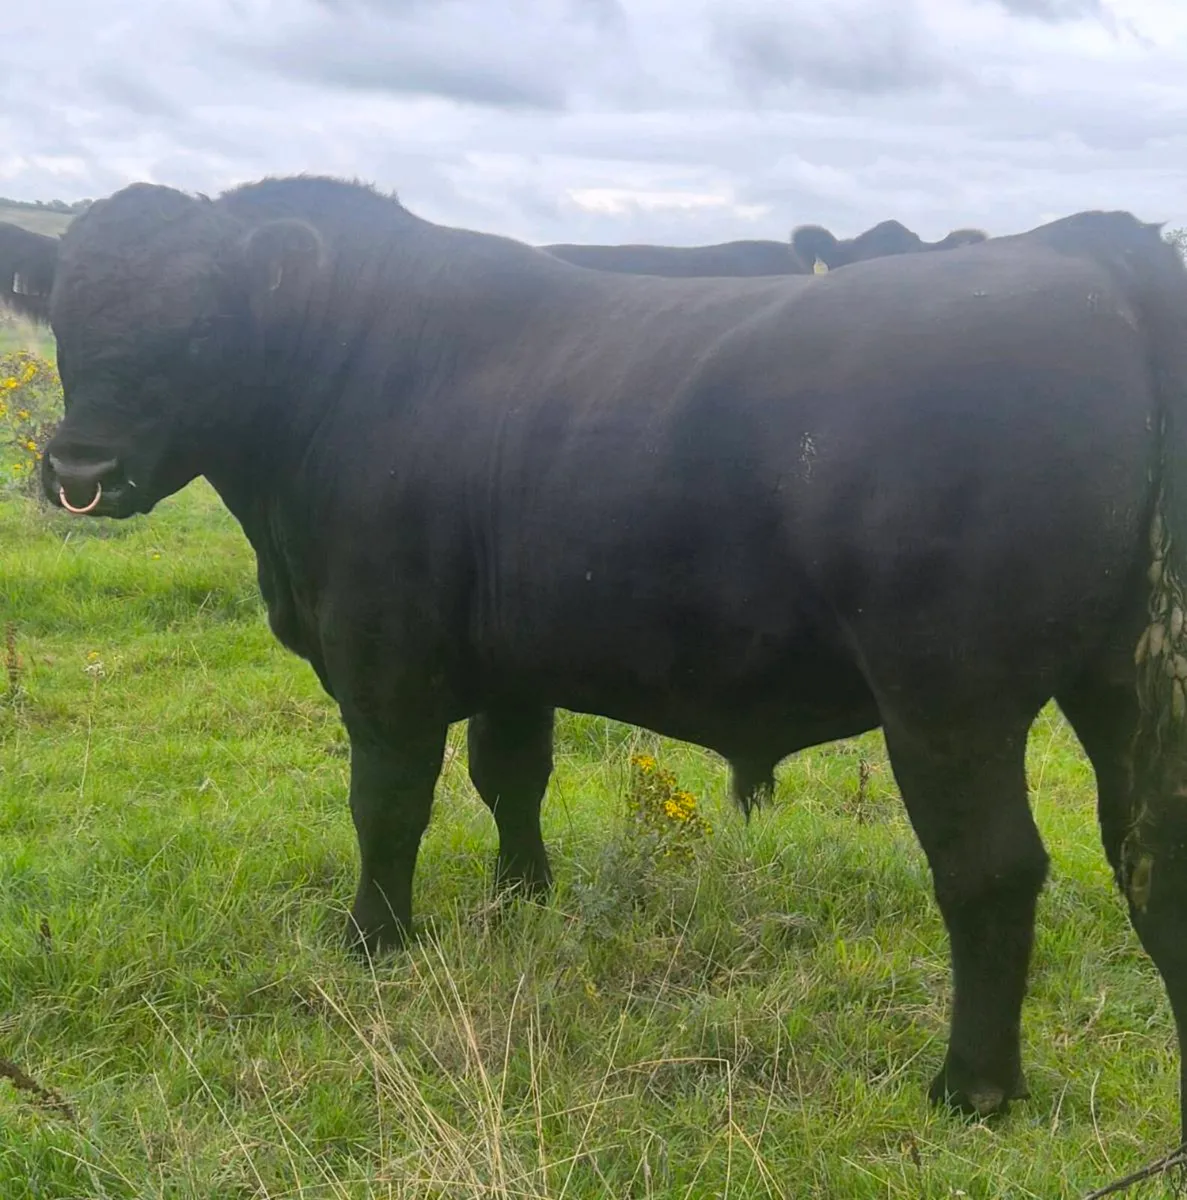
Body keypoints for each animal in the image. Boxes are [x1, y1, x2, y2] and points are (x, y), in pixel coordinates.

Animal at [38, 175, 1187, 1135]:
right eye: (63, 315)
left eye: (201, 328)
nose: (79, 470)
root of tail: (1090, 248)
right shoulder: (510, 666)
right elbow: (511, 778)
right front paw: (520, 899)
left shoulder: (383, 664)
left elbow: (387, 807)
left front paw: (375, 940)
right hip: (1121, 686)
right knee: (1148, 851)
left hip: (948, 697)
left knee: (990, 872)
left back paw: (971, 1087)